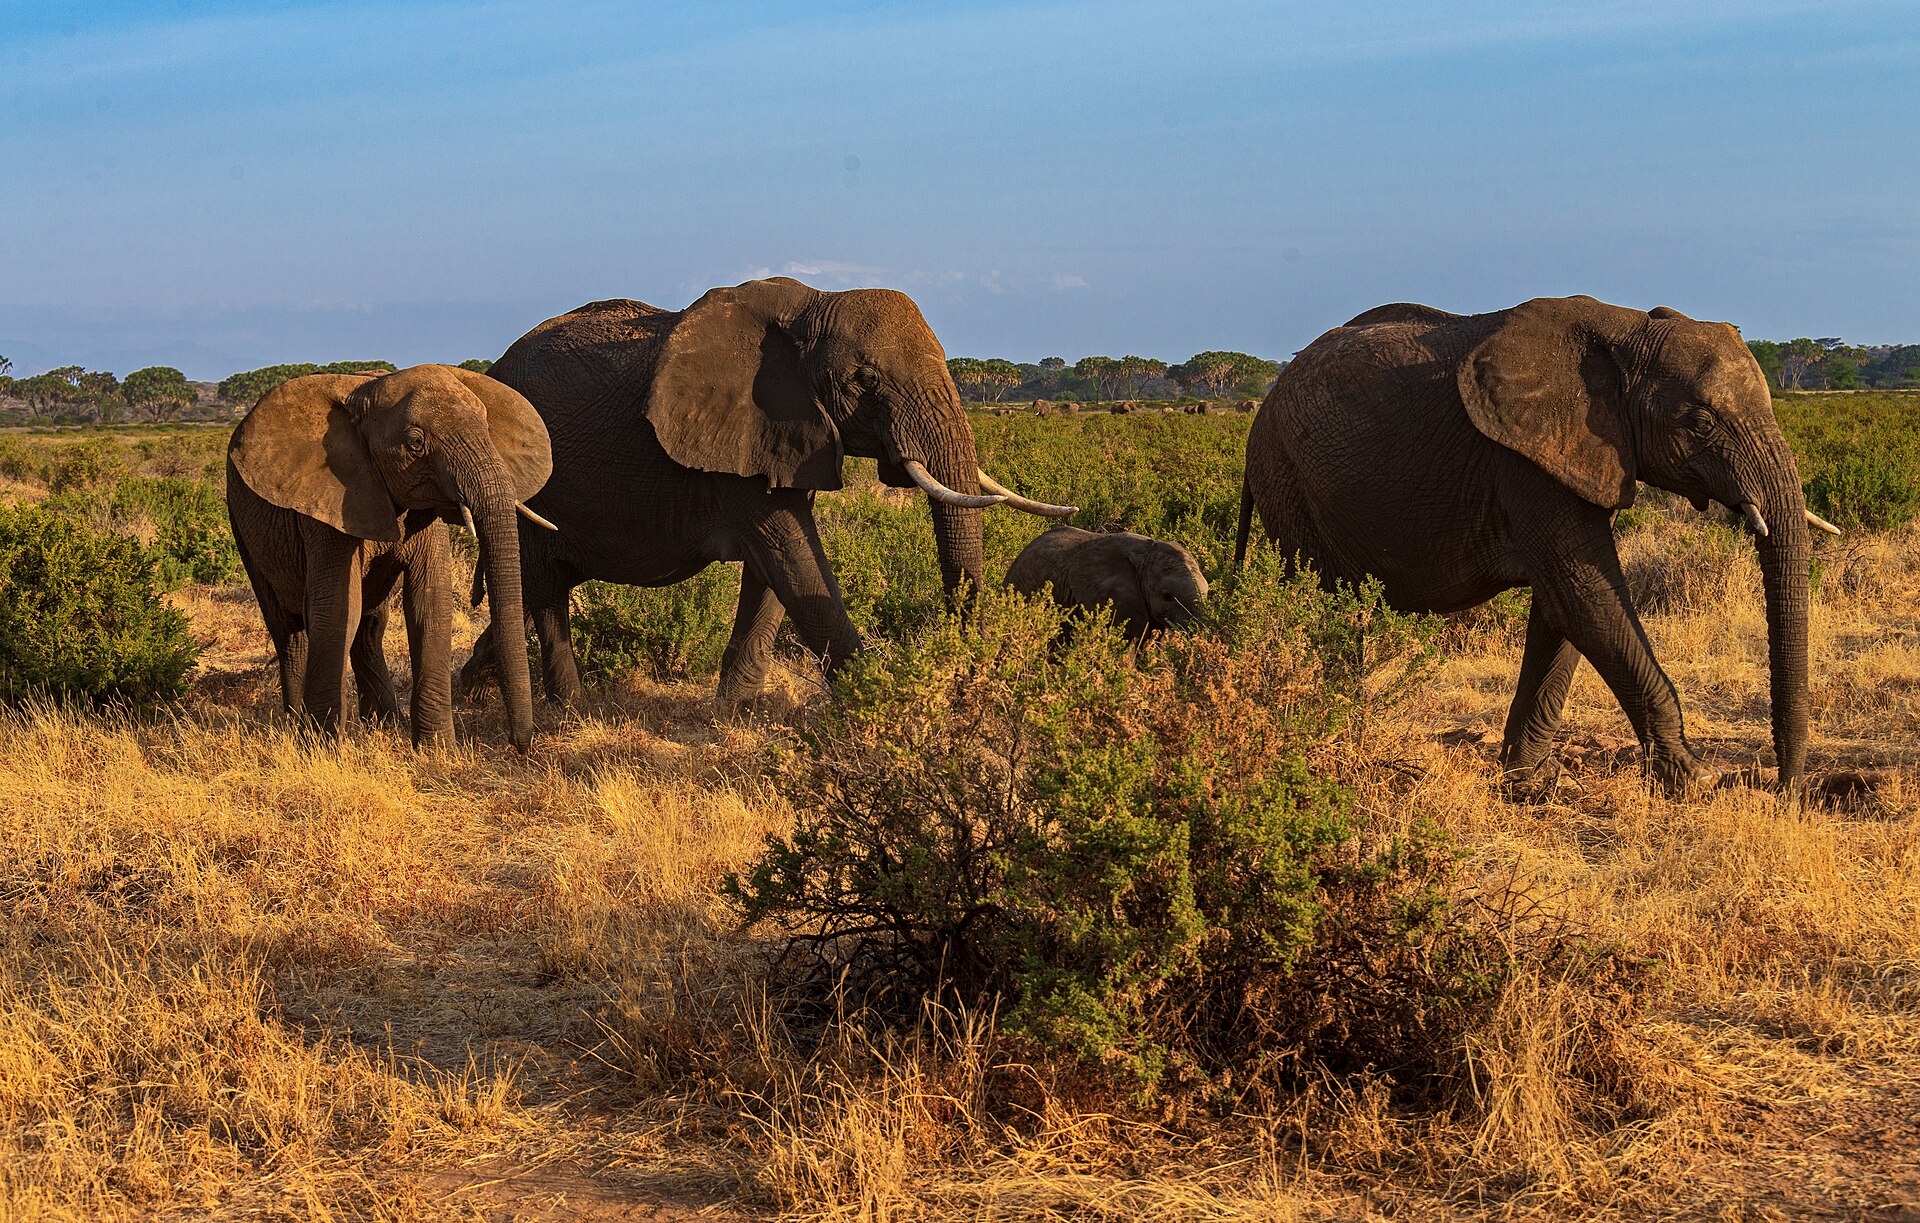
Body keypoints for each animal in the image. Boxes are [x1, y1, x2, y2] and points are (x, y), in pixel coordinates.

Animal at [226, 364, 553, 749]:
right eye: (415, 443)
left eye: (487, 430)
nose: (520, 745)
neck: (365, 394)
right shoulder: (326, 505)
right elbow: (335, 607)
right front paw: (324, 748)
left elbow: (429, 602)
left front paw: (437, 750)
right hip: (241, 525)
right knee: (288, 630)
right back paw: (295, 725)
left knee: (370, 625)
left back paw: (383, 722)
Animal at [457, 277, 1074, 707]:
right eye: (866, 380)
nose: (965, 679)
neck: (811, 308)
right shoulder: (739, 440)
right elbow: (791, 555)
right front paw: (882, 702)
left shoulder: (783, 435)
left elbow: (775, 567)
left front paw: (735, 709)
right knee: (543, 590)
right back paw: (569, 712)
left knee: (535, 587)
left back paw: (472, 693)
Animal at [1233, 295, 1840, 796]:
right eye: (1699, 421)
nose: (1784, 791)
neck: (1626, 331)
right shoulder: (1525, 462)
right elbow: (1586, 596)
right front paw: (1695, 782)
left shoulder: (1570, 457)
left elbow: (1562, 607)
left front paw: (1527, 782)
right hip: (1286, 477)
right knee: (1322, 600)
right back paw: (1334, 726)